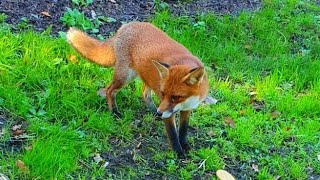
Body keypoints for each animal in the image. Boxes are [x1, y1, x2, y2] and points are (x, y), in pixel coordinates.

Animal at [66, 21, 209, 157]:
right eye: (163, 94)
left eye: (176, 97)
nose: (159, 113)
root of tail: (126, 26)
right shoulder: (168, 113)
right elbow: (173, 134)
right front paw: (178, 152)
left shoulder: (187, 109)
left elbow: (183, 130)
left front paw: (184, 145)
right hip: (125, 77)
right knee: (109, 90)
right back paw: (115, 112)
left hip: (144, 77)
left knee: (144, 94)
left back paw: (152, 111)